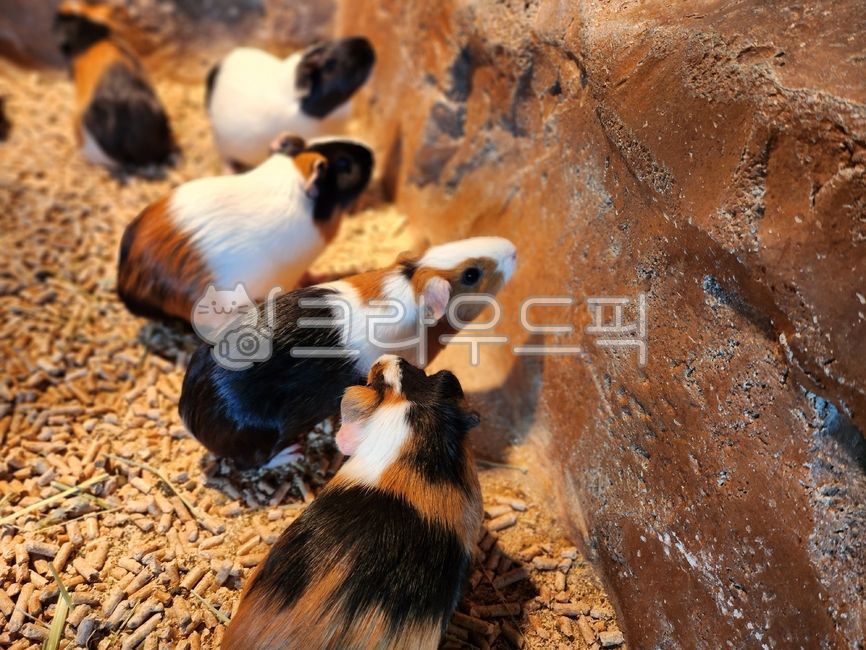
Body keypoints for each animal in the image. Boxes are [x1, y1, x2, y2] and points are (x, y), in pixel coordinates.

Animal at [178, 236, 516, 469]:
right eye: (471, 275)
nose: (512, 249)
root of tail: (189, 413)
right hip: (261, 440)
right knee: (254, 464)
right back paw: (292, 453)